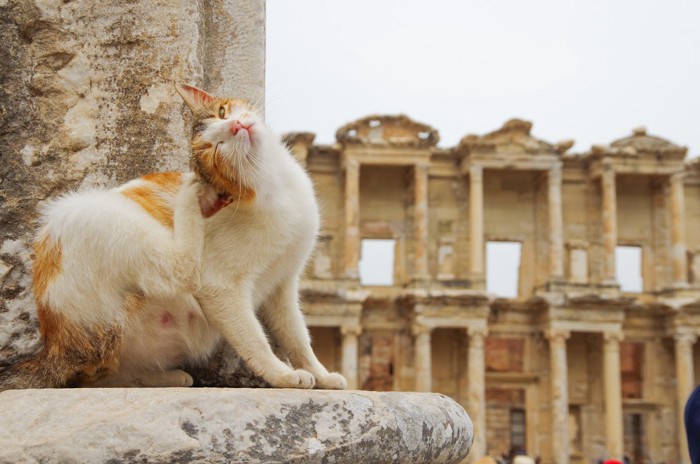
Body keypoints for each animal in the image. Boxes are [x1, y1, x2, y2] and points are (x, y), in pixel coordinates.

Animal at [0, 84, 348, 392]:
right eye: (215, 150)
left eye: (222, 112)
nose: (235, 125)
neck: (276, 185)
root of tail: (54, 346)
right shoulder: (218, 285)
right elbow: (255, 340)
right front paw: (283, 375)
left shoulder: (283, 285)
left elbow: (297, 337)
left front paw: (322, 375)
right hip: (94, 217)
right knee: (180, 270)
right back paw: (190, 196)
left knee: (99, 376)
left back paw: (166, 377)